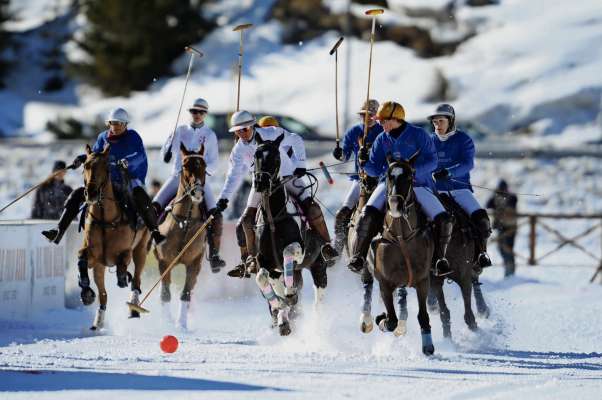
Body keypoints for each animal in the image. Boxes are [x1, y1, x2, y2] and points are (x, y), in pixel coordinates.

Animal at [78, 142, 150, 330]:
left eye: (106, 166)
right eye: (86, 165)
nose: (91, 192)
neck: (105, 219)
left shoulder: (125, 250)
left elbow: (123, 264)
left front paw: (123, 277)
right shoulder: (94, 256)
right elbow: (81, 257)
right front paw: (86, 291)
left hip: (141, 249)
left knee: (136, 280)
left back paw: (134, 308)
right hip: (99, 268)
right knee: (103, 294)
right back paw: (98, 321)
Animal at [152, 143, 209, 328]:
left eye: (204, 166)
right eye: (185, 165)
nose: (197, 192)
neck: (185, 223)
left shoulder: (194, 263)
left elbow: (186, 293)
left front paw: (181, 324)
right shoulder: (164, 262)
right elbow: (165, 293)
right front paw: (167, 321)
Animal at [252, 134, 330, 334]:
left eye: (276, 158)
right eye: (256, 155)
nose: (261, 182)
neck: (273, 217)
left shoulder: (299, 249)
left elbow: (288, 251)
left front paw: (289, 295)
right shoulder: (265, 261)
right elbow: (261, 276)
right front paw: (281, 311)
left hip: (318, 265)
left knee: (318, 301)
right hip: (291, 272)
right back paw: (284, 319)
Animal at [368, 156, 434, 356]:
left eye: (410, 177)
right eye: (388, 176)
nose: (395, 205)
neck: (401, 237)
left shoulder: (423, 280)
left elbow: (423, 315)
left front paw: (428, 345)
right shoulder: (384, 282)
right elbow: (391, 320)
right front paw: (381, 319)